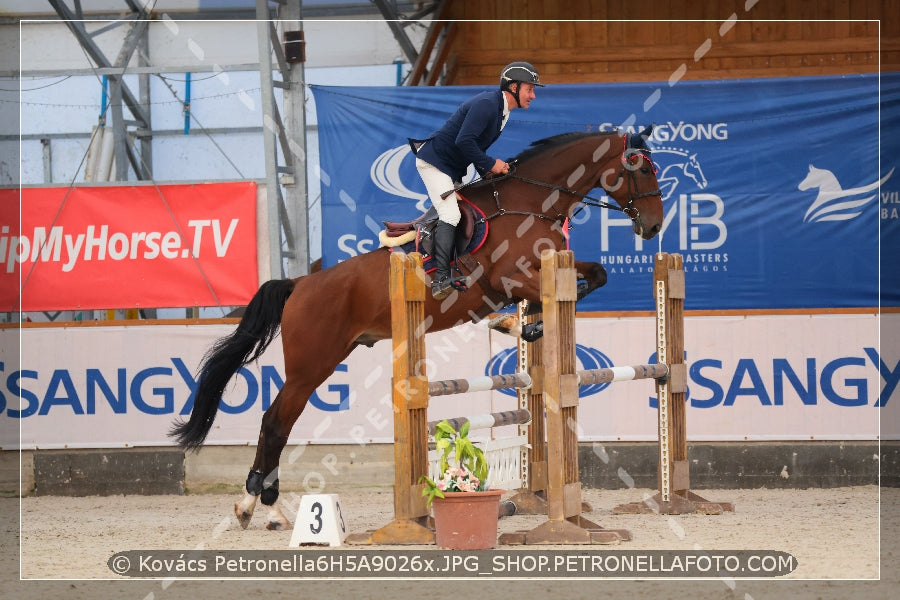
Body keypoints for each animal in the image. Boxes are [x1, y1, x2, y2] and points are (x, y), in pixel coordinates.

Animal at [171, 124, 660, 528]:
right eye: (639, 168)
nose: (653, 226)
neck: (529, 204)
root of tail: (300, 283)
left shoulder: (548, 268)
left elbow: (596, 276)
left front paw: (522, 327)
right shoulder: (510, 278)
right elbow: (547, 296)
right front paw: (515, 325)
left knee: (277, 422)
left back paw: (262, 508)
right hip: (311, 365)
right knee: (275, 422)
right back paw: (258, 506)